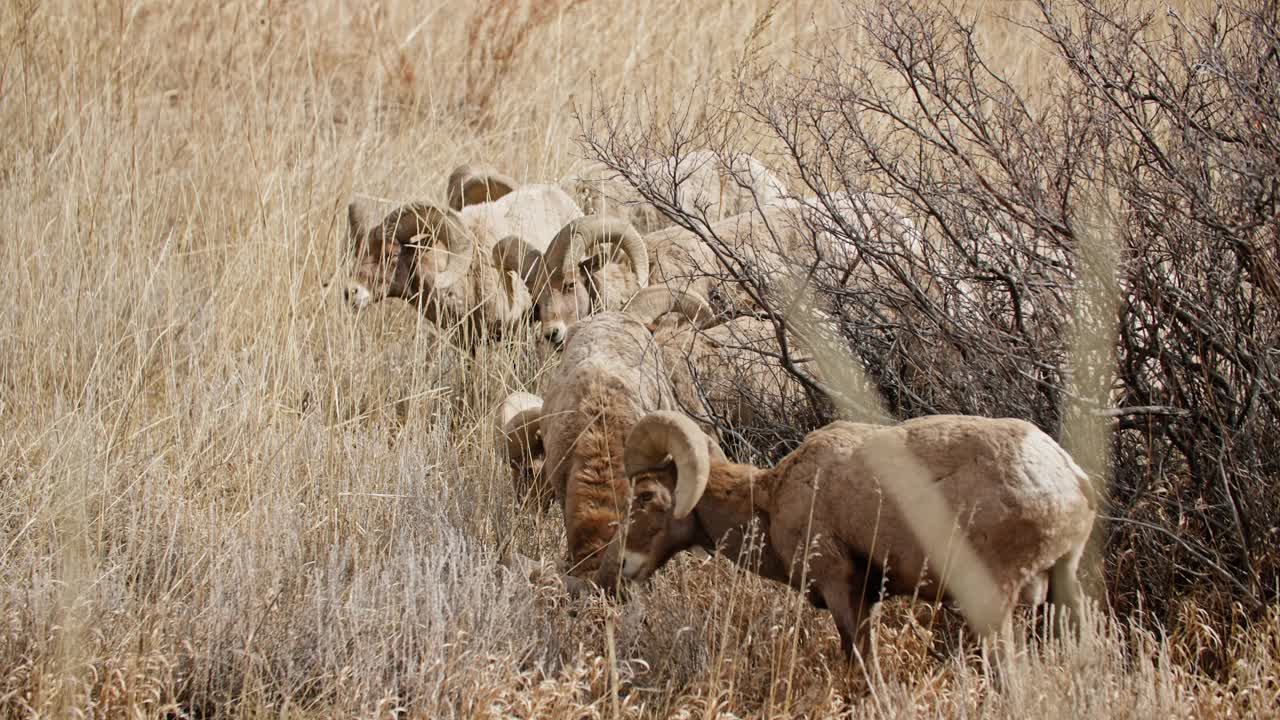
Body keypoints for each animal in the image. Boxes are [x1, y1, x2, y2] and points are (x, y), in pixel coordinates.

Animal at [604, 409, 1095, 666]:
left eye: (645, 496)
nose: (623, 565)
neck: (772, 500)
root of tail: (1069, 479)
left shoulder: (843, 591)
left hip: (996, 603)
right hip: (1062, 593)